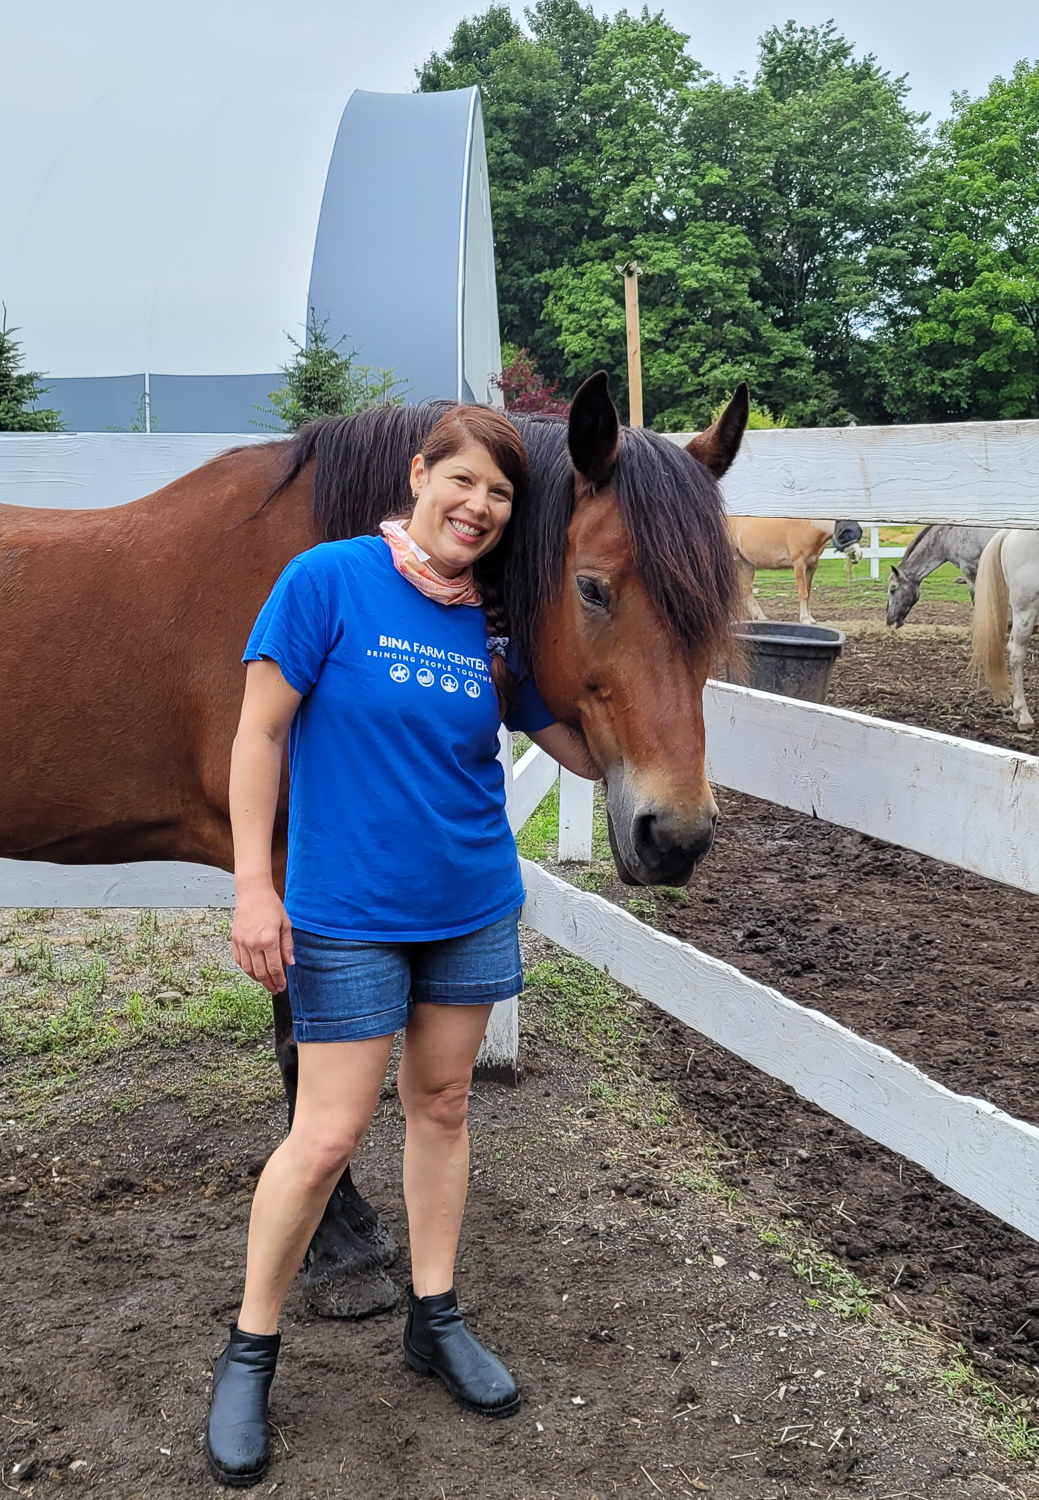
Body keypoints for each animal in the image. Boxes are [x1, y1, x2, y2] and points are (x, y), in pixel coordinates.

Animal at [0, 372, 746, 1314]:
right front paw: (337, 1246)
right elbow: (305, 1051)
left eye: (715, 603)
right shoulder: (287, 873)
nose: (675, 835)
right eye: (592, 588)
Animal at [728, 516, 869, 621]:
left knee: (747, 590)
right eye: (844, 533)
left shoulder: (812, 566)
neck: (806, 529)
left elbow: (808, 592)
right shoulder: (799, 565)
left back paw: (759, 616)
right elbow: (803, 593)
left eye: (859, 531)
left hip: (747, 563)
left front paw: (810, 617)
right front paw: (805, 619)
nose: (857, 554)